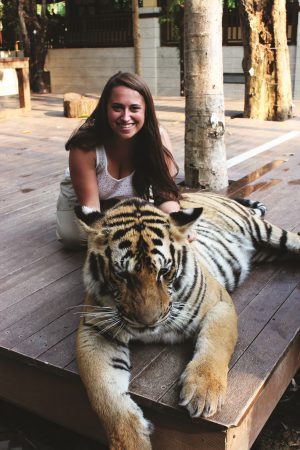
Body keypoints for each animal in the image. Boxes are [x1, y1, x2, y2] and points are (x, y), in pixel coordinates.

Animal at [75, 192, 300, 450]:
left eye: (164, 271)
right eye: (122, 274)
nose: (148, 322)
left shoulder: (218, 303)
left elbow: (215, 345)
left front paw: (203, 391)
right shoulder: (95, 330)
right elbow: (103, 392)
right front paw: (131, 441)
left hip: (263, 231)